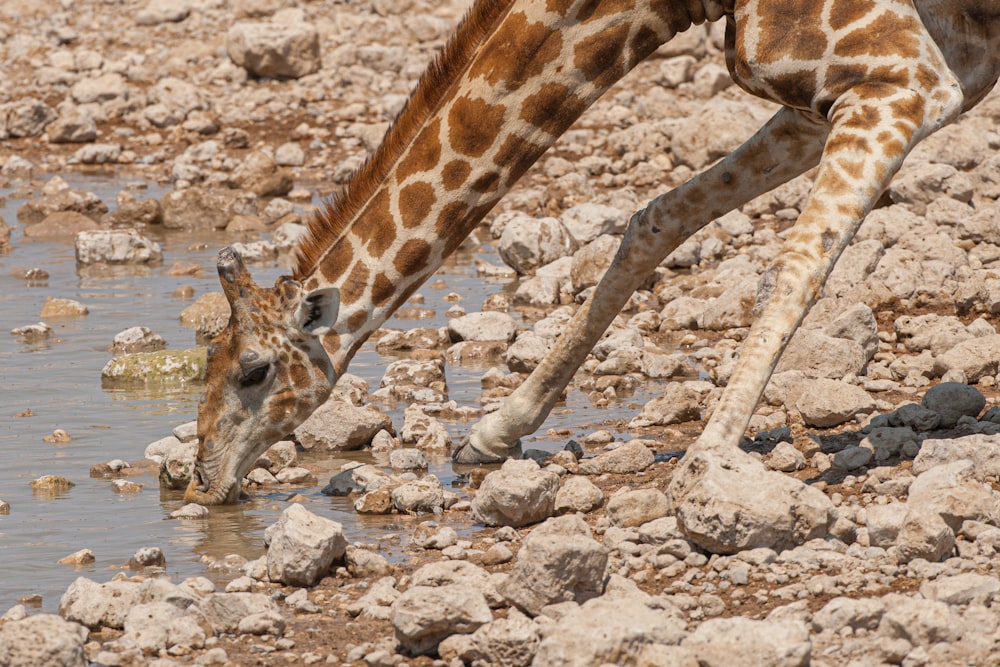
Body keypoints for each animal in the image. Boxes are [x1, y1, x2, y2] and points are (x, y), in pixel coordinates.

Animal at [184, 0, 996, 552]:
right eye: (207, 362)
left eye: (253, 370)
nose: (202, 476)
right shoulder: (860, 93)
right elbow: (655, 218)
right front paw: (493, 433)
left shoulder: (905, 82)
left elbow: (800, 258)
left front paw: (707, 469)